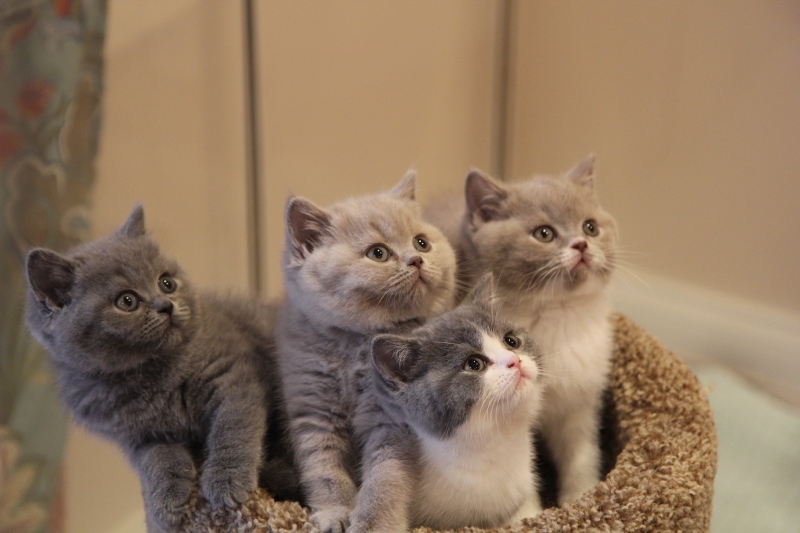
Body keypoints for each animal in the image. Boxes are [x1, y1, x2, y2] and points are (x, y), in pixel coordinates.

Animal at [24, 204, 279, 532]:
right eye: (127, 301)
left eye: (166, 283)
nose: (165, 305)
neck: (150, 373)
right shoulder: (135, 435)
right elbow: (157, 459)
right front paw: (165, 504)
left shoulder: (232, 373)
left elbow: (232, 427)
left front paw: (226, 480)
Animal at [275, 171, 457, 533]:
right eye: (378, 253)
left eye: (421, 243)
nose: (417, 259)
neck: (354, 348)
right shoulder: (313, 412)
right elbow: (324, 470)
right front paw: (334, 513)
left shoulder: (393, 419)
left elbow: (385, 479)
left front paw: (373, 524)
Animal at [425, 155, 618, 505]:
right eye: (543, 233)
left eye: (590, 227)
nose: (582, 244)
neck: (557, 316)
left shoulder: (578, 404)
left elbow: (581, 456)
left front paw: (579, 499)